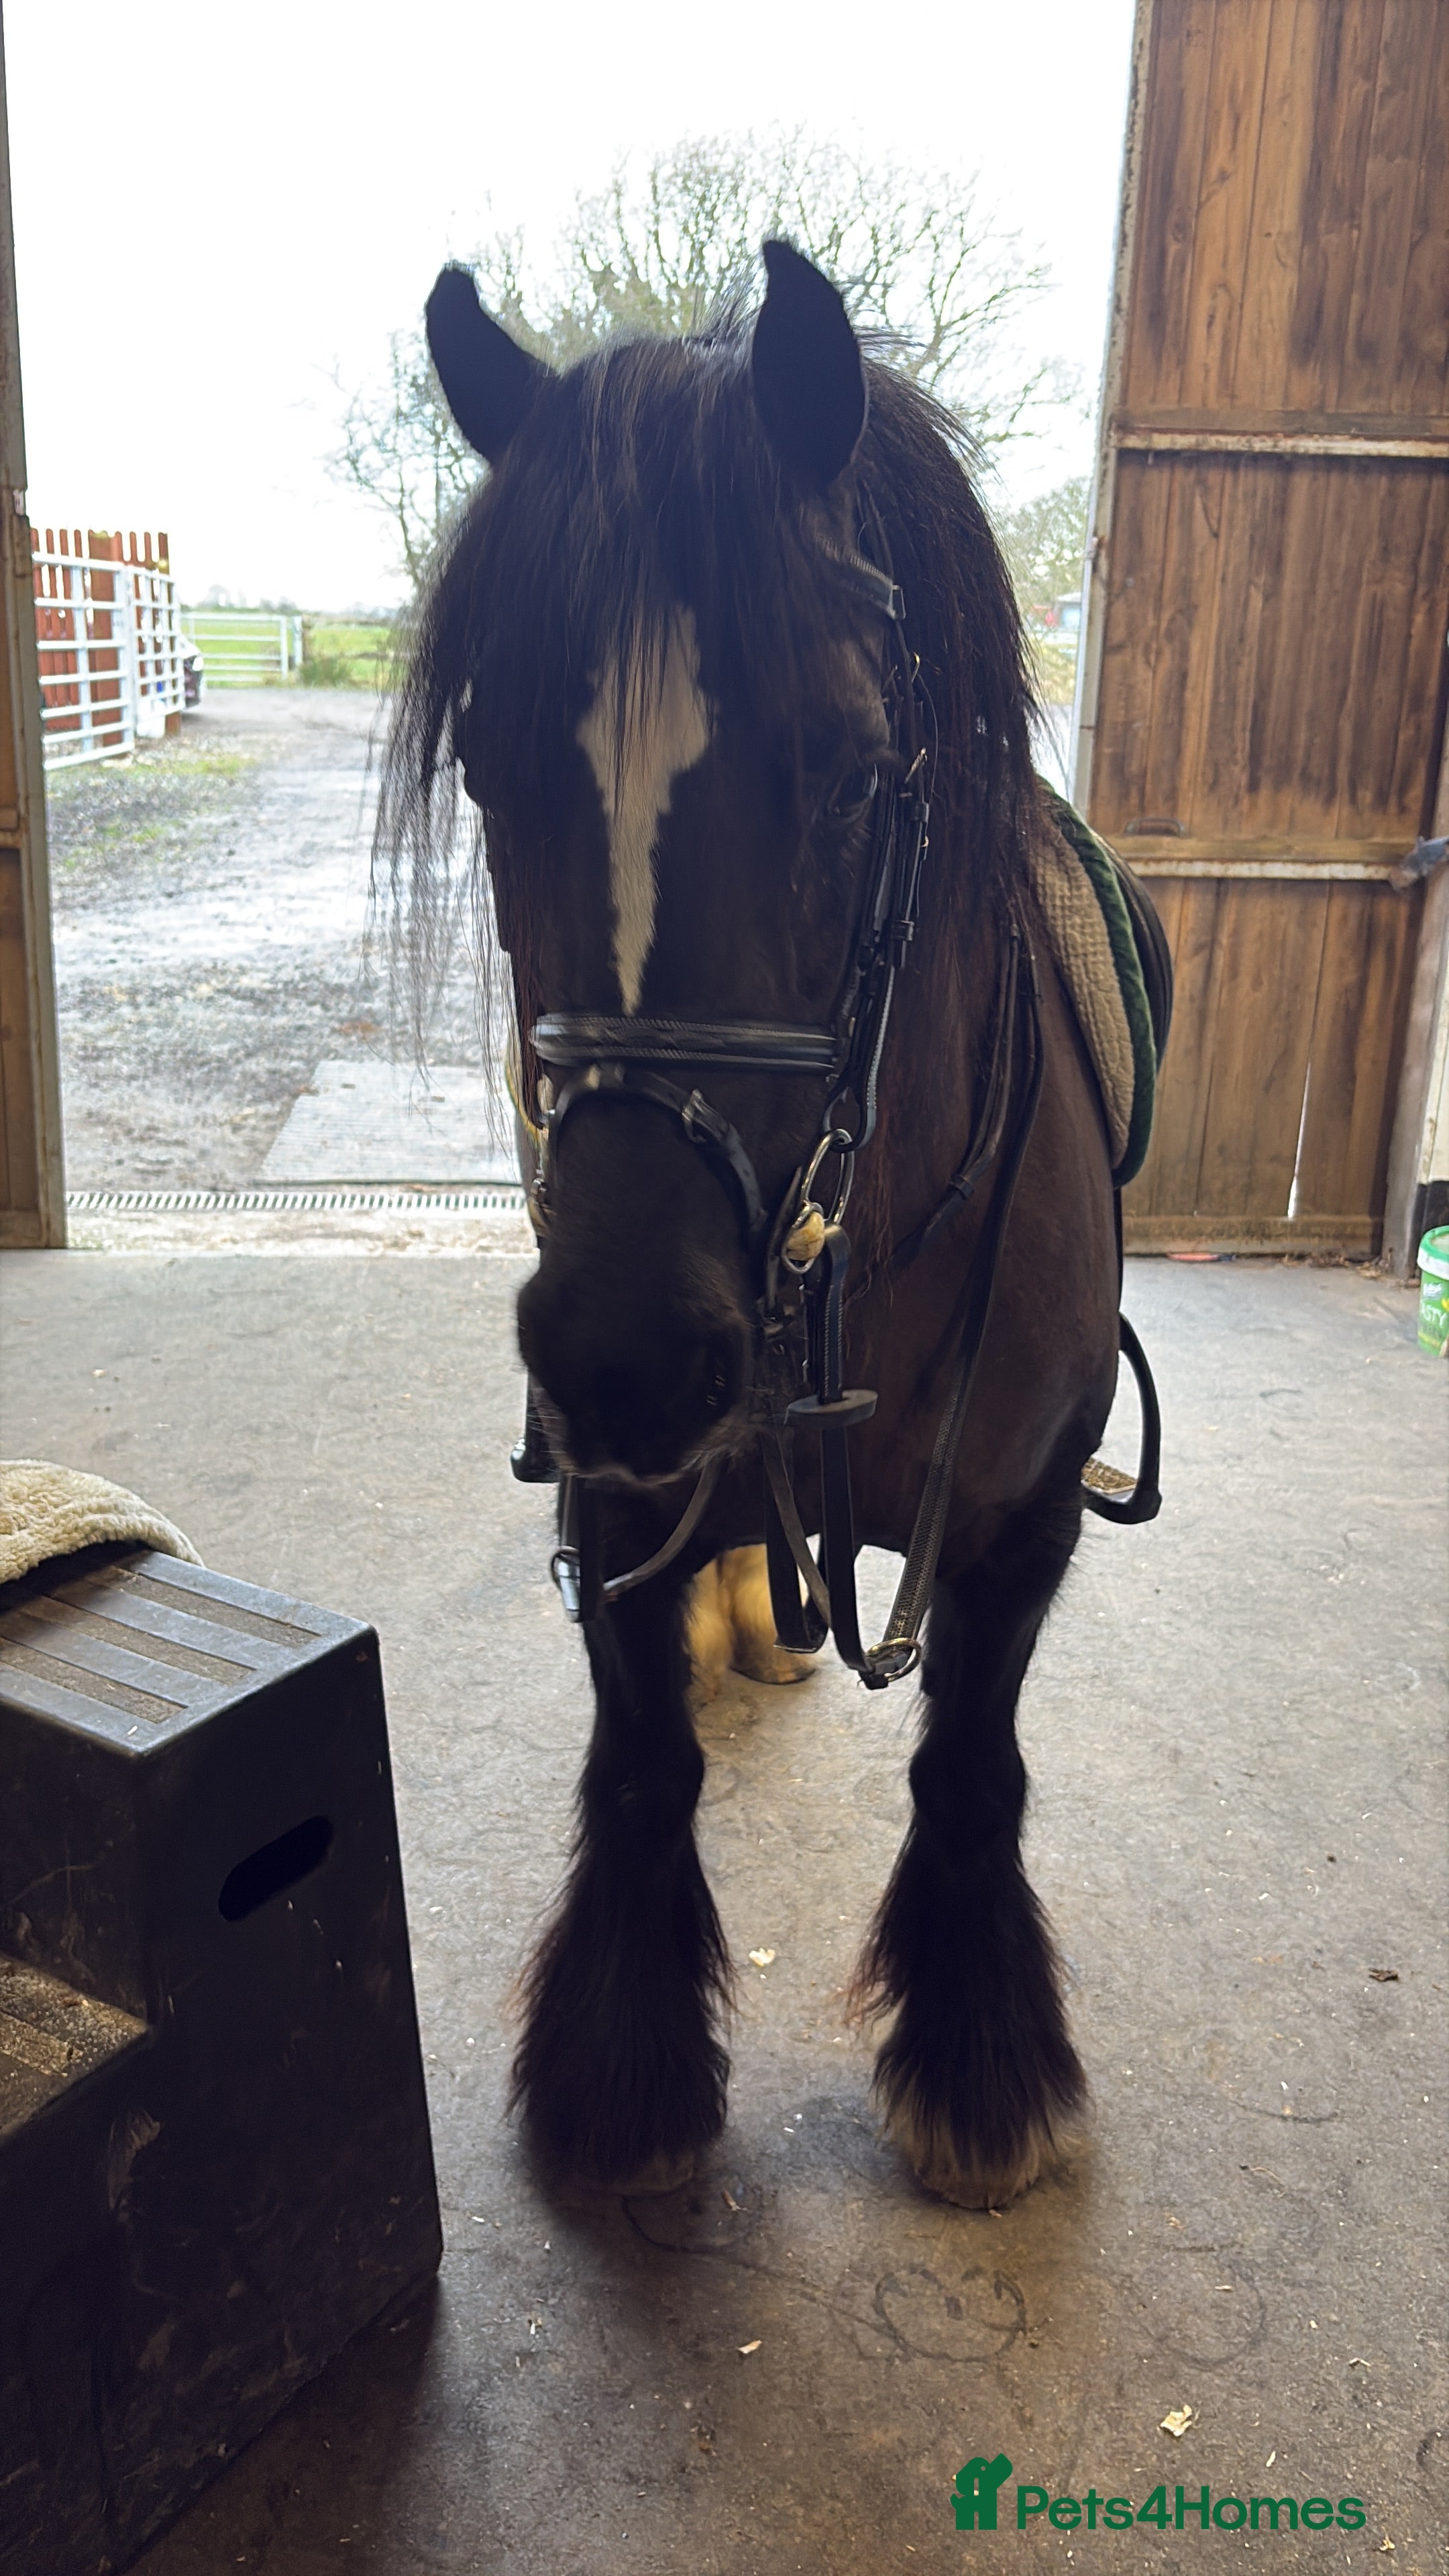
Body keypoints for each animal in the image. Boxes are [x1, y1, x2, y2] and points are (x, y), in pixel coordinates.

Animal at [380, 239, 1141, 2208]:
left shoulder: (1029, 1503)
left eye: (860, 771)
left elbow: (972, 1761)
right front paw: (625, 2068)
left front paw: (977, 2059)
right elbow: (642, 1752)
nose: (627, 1352)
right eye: (490, 767)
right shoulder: (605, 1478)